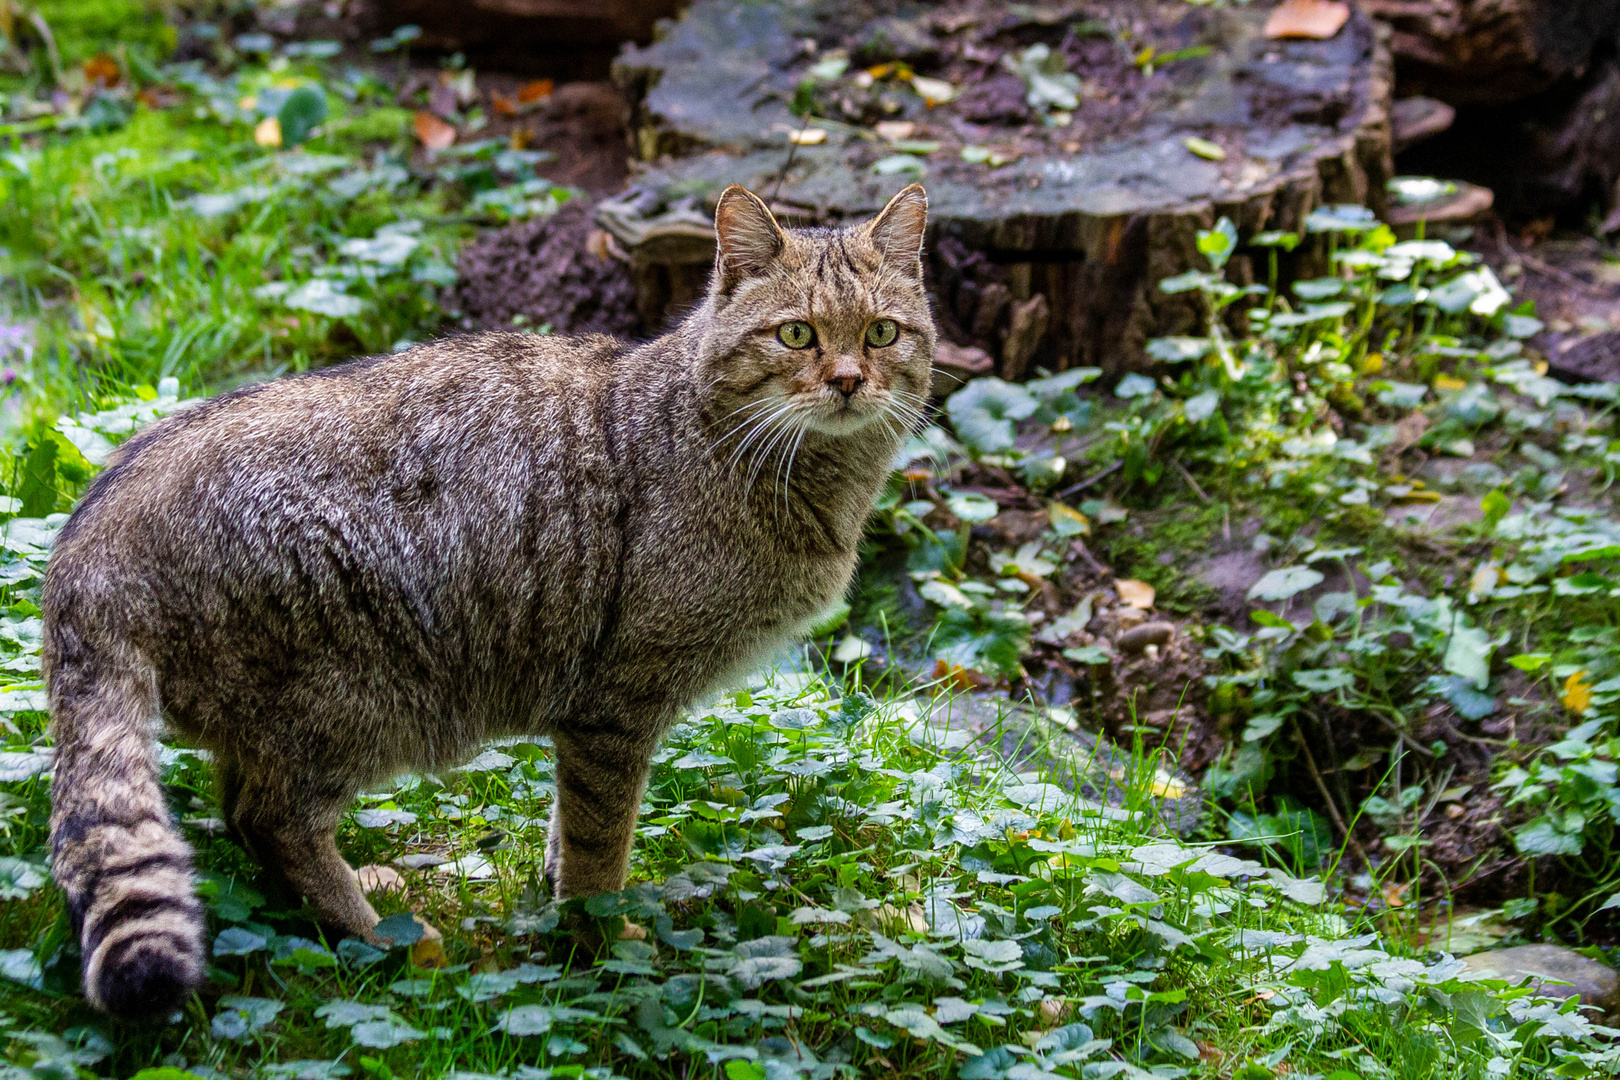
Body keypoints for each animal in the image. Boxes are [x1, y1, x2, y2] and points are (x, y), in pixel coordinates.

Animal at [41, 181, 939, 1016]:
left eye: (882, 333)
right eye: (797, 334)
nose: (850, 381)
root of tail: (92, 530)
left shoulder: (590, 720)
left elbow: (571, 822)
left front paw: (559, 889)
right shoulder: (617, 705)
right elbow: (601, 842)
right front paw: (598, 942)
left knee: (233, 811)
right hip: (359, 699)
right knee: (266, 818)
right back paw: (376, 935)